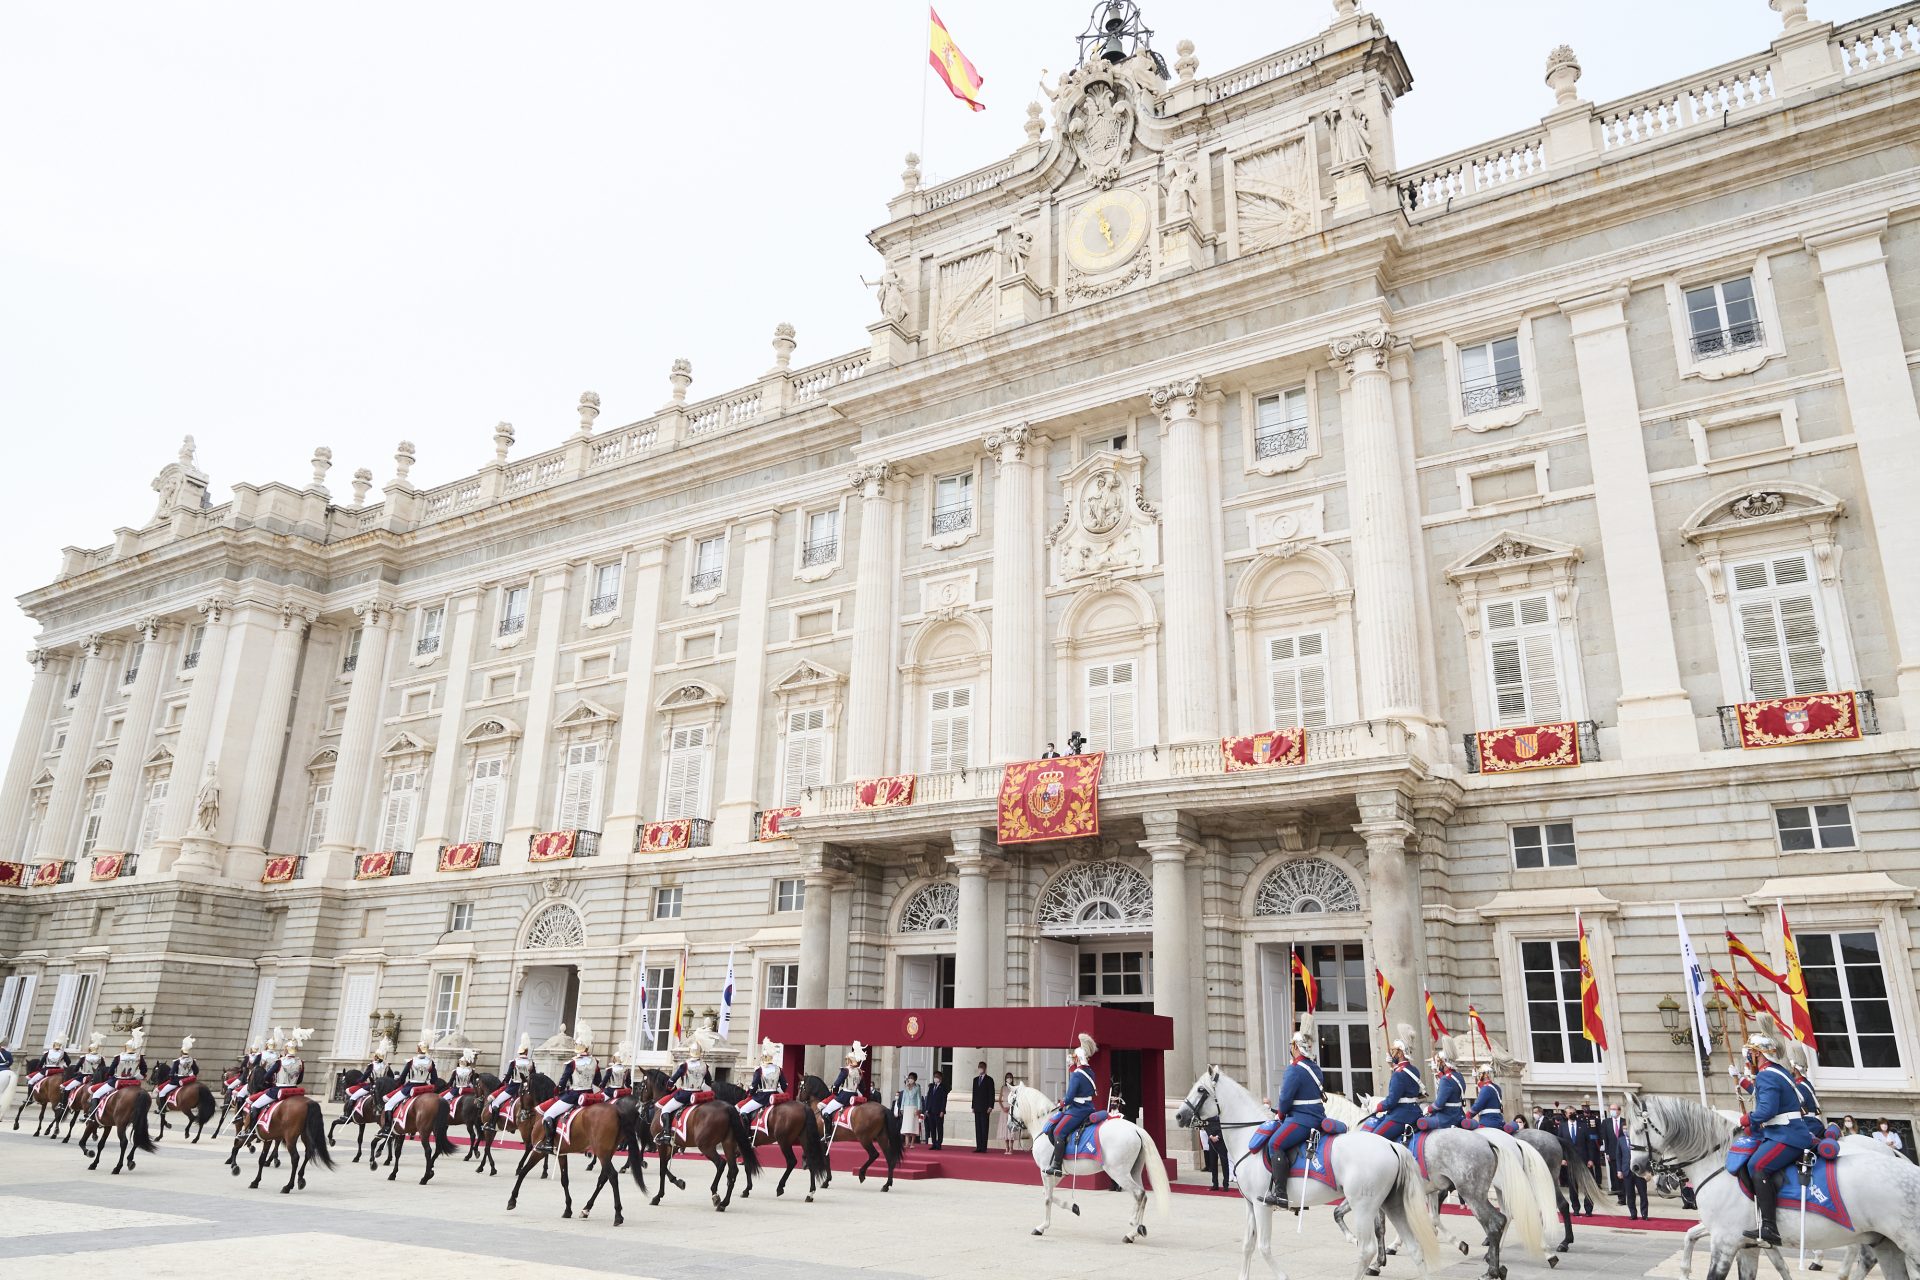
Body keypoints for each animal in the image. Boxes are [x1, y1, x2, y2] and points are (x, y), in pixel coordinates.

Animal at [506, 1066, 648, 1228]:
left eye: (521, 1092)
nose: (521, 1115)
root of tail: (617, 1110)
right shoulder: (561, 1153)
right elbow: (564, 1180)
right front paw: (568, 1209)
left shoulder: (538, 1151)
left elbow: (523, 1172)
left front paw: (512, 1200)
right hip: (607, 1152)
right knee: (603, 1178)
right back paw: (586, 1209)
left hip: (601, 1152)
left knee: (612, 1176)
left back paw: (618, 1215)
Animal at [645, 1074, 764, 1212]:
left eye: (640, 1086)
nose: (640, 1105)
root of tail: (728, 1107)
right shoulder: (674, 1146)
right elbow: (665, 1167)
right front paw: (678, 1182)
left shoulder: (662, 1145)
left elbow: (662, 1168)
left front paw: (658, 1196)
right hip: (728, 1144)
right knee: (733, 1170)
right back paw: (724, 1202)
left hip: (705, 1146)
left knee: (721, 1163)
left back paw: (716, 1194)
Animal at [1006, 1082, 1167, 1243]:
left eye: (1011, 1103)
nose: (1009, 1126)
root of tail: (1135, 1129)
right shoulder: (1057, 1174)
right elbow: (1048, 1194)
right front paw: (1073, 1207)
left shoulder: (1046, 1171)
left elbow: (1047, 1198)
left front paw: (1042, 1227)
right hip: (1134, 1172)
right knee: (1143, 1196)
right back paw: (1134, 1232)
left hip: (1119, 1173)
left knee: (1139, 1194)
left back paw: (1134, 1224)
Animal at [1175, 1066, 1436, 1280]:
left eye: (1201, 1089)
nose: (1178, 1115)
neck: (1248, 1137)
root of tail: (1391, 1145)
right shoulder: (1249, 1204)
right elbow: (1248, 1245)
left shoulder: (1262, 1204)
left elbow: (1263, 1247)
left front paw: (1283, 1276)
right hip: (1392, 1203)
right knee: (1414, 1247)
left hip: (1365, 1205)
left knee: (1367, 1249)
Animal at [1635, 1097, 1920, 1280]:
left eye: (1639, 1130)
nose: (1640, 1169)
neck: (1720, 1161)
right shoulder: (1748, 1239)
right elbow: (1691, 1235)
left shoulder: (1726, 1237)